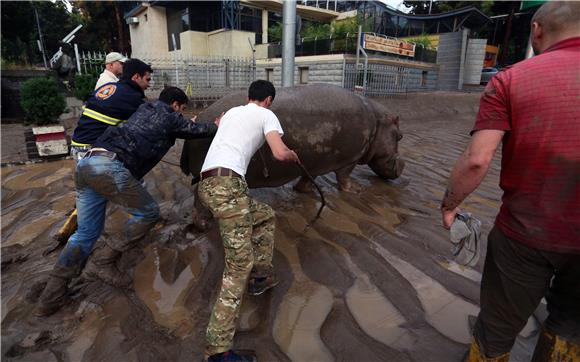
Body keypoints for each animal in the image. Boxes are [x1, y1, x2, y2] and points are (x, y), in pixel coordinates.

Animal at [180, 83, 404, 226]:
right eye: (400, 136)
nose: (402, 166)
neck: (378, 123)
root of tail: (199, 117)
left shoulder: (314, 161)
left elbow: (308, 177)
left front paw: (305, 191)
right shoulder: (352, 158)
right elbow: (345, 177)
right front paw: (358, 190)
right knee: (199, 196)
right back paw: (204, 224)